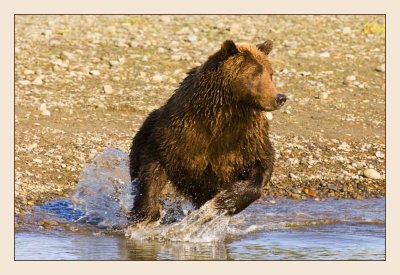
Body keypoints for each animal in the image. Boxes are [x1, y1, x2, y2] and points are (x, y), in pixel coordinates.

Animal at [128, 39, 284, 224]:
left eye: (271, 73)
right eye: (255, 74)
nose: (280, 98)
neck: (223, 116)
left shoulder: (247, 140)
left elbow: (263, 164)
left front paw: (225, 201)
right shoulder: (177, 135)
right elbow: (153, 167)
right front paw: (146, 213)